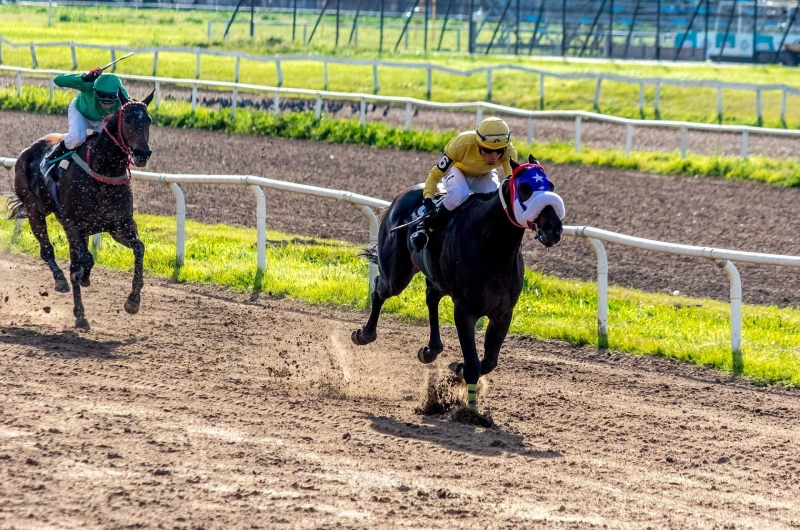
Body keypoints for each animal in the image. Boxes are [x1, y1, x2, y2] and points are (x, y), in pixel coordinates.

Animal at [10, 88, 153, 328]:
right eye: (128, 119)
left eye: (149, 120)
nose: (143, 153)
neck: (104, 170)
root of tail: (27, 151)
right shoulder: (72, 225)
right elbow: (86, 260)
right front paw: (83, 277)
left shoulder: (119, 226)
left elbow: (139, 248)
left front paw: (133, 302)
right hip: (34, 210)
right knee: (47, 251)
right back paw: (61, 283)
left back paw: (80, 314)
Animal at [354, 155, 564, 406]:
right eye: (524, 188)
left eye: (551, 185)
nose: (553, 228)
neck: (493, 247)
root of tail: (401, 196)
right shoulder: (464, 310)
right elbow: (474, 365)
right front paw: (468, 408)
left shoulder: (503, 313)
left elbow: (489, 361)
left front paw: (458, 368)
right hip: (397, 274)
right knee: (379, 289)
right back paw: (365, 334)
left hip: (435, 278)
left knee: (431, 296)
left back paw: (430, 350)